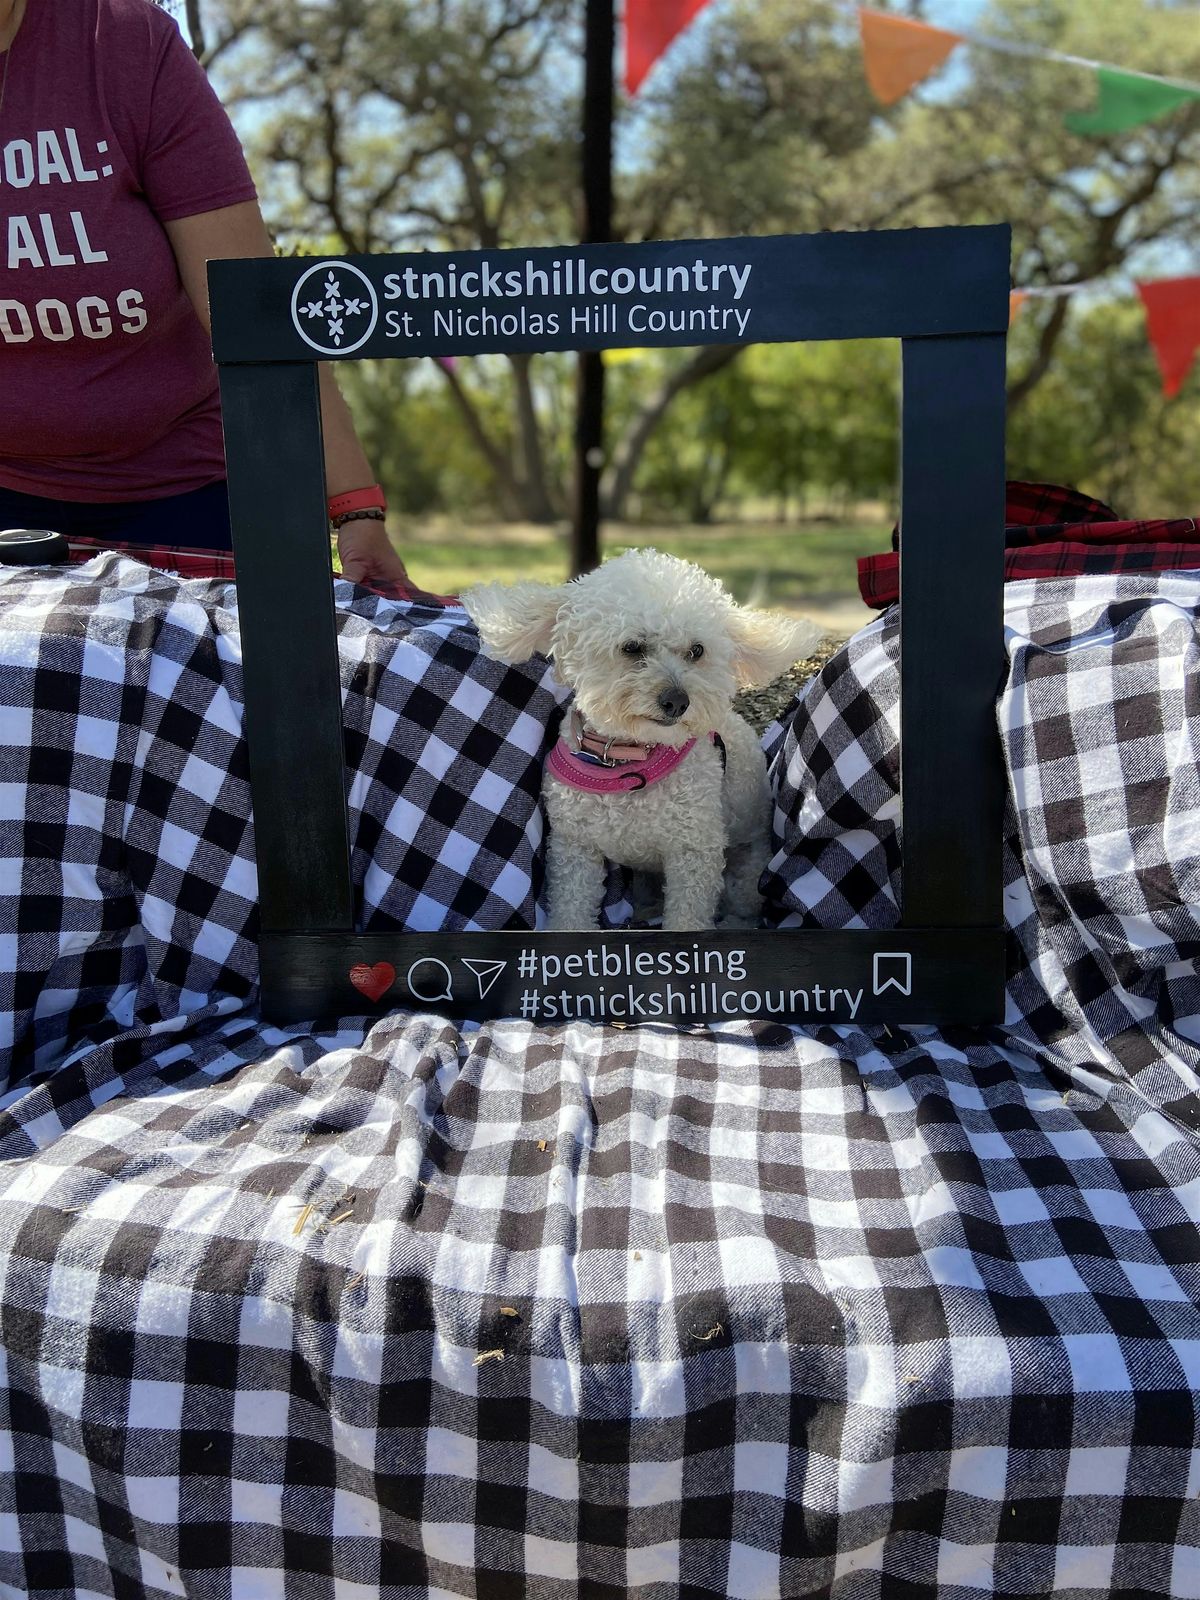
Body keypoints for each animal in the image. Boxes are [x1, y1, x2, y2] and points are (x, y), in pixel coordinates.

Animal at [464, 547, 825, 934]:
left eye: (697, 650)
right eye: (632, 647)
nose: (678, 701)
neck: (626, 760)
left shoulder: (693, 851)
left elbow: (687, 916)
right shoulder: (574, 848)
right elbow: (572, 908)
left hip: (746, 869)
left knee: (744, 905)